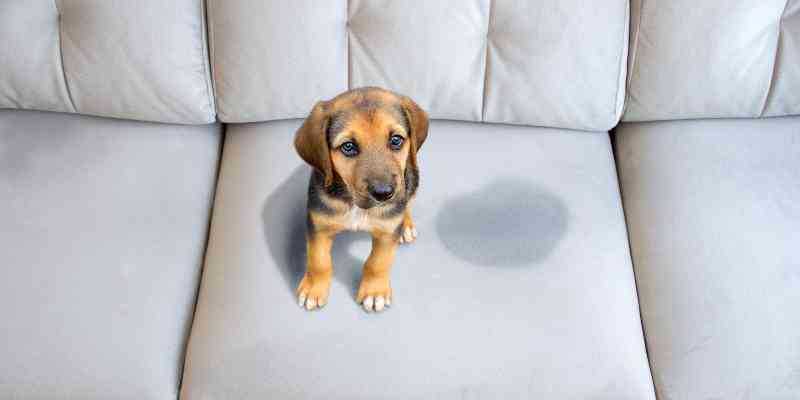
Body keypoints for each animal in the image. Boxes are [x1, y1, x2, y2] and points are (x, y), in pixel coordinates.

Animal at [294, 86, 428, 312]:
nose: (384, 193)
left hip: (412, 177)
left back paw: (406, 225)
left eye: (396, 140)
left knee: (407, 200)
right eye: (348, 147)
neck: (356, 205)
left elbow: (378, 262)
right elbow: (318, 260)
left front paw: (374, 292)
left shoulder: (387, 232)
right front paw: (314, 288)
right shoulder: (318, 225)